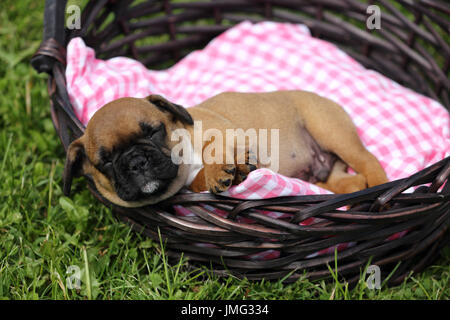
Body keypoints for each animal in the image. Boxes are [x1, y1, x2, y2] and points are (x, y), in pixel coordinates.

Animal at [61, 92, 388, 208]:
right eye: (105, 162)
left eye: (154, 131)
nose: (136, 161)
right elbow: (199, 180)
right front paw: (228, 173)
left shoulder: (224, 131)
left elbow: (213, 150)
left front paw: (220, 170)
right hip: (327, 174)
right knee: (349, 182)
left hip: (329, 129)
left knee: (369, 161)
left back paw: (382, 189)